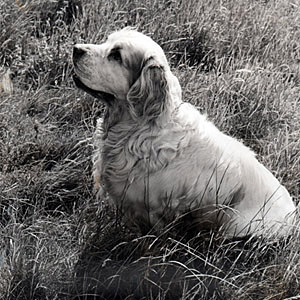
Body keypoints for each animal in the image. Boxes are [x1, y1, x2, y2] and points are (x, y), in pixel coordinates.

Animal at [72, 28, 296, 239]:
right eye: (107, 41)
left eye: (116, 55)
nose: (76, 49)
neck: (140, 125)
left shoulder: (155, 210)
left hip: (237, 226)